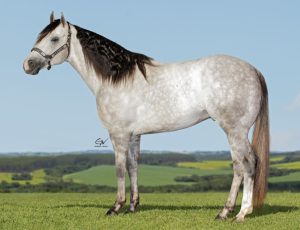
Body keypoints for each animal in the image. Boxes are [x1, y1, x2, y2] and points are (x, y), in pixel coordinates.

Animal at [22, 12, 270, 221]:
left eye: (54, 39)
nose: (27, 65)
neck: (115, 78)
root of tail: (253, 70)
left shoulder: (119, 134)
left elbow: (119, 168)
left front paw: (116, 207)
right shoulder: (134, 135)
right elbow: (133, 166)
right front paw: (133, 206)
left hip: (235, 130)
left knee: (247, 164)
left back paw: (238, 213)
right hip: (234, 132)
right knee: (240, 166)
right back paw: (230, 211)